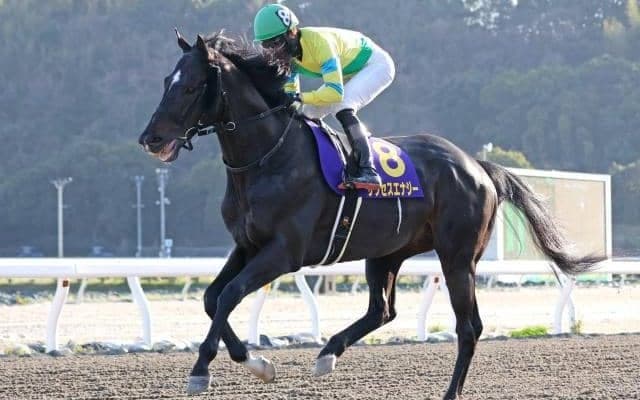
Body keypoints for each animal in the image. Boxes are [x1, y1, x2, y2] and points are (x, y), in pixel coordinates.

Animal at [138, 31, 603, 399]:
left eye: (192, 85)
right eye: (164, 82)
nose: (150, 138)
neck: (268, 158)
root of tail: (477, 165)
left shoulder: (284, 252)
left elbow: (231, 295)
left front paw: (201, 370)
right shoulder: (247, 245)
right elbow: (212, 297)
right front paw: (255, 362)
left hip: (457, 257)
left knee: (468, 326)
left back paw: (449, 392)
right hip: (387, 252)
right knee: (383, 310)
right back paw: (327, 354)